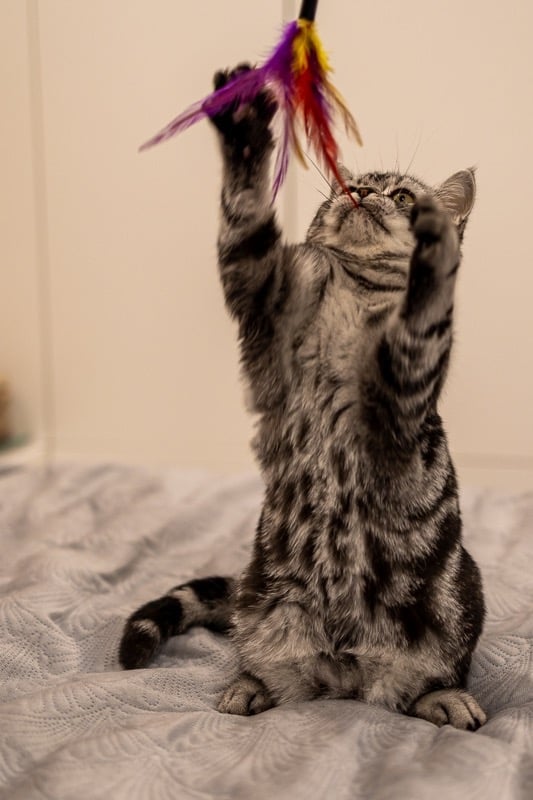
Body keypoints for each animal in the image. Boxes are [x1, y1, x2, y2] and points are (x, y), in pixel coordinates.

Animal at [119, 64, 486, 730]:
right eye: (351, 185)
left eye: (402, 196)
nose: (360, 194)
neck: (354, 291)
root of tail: (347, 672)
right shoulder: (264, 292)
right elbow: (244, 221)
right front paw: (243, 129)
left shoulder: (404, 382)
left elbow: (423, 309)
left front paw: (432, 253)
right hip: (262, 603)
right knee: (272, 670)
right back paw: (250, 687)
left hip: (458, 600)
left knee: (416, 688)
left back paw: (444, 698)